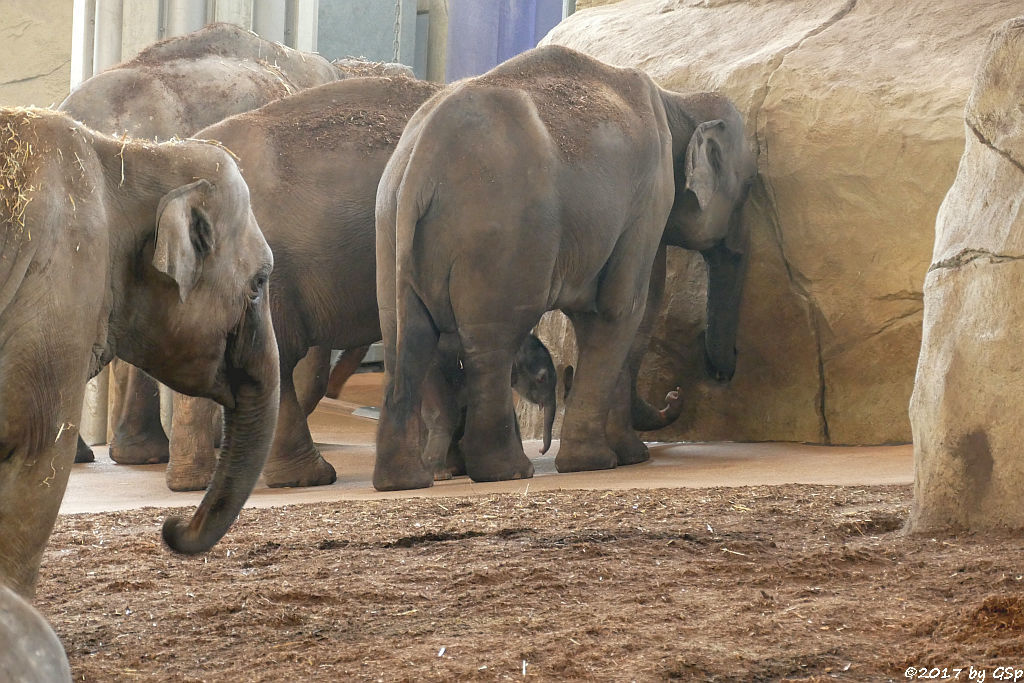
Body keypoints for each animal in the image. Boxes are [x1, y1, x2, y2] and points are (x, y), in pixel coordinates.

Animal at [372, 44, 757, 491]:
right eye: (749, 189)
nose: (679, 392)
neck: (676, 99)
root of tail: (419, 162)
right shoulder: (650, 195)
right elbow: (621, 310)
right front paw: (603, 462)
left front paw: (624, 456)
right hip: (502, 238)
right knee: (493, 342)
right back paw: (506, 471)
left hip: (391, 232)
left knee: (408, 339)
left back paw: (405, 481)